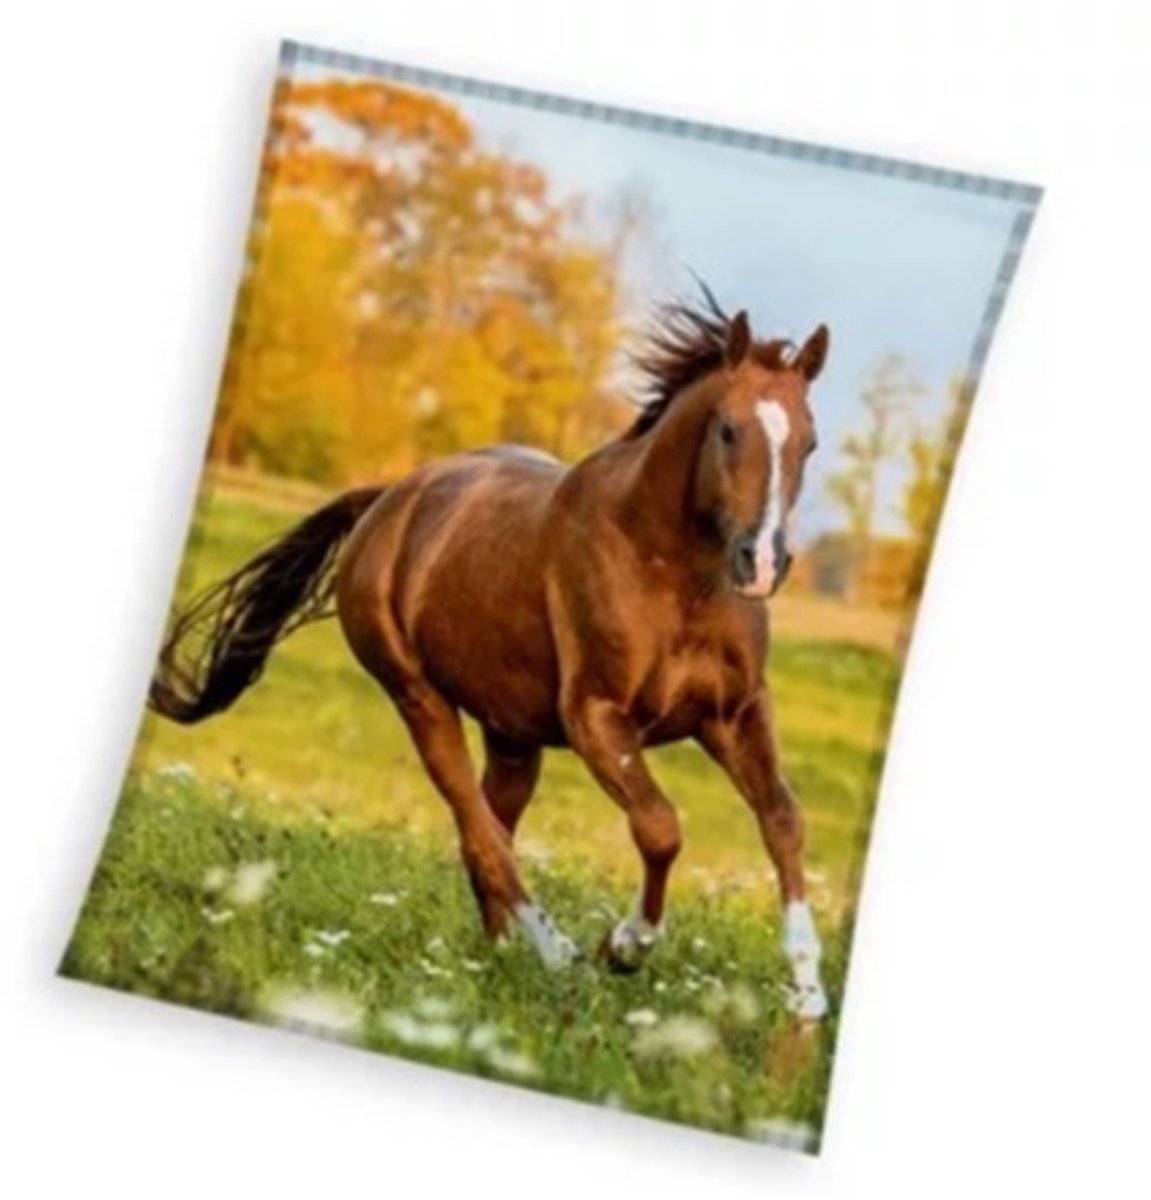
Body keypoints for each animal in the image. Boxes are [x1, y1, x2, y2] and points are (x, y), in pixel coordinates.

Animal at [150, 293, 832, 1019]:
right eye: (728, 430)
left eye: (809, 442)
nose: (762, 564)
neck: (673, 574)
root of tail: (388, 500)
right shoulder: (596, 717)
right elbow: (659, 826)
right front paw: (621, 946)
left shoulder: (735, 714)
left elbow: (783, 819)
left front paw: (808, 995)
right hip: (419, 700)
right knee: (483, 832)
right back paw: (559, 957)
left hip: (513, 738)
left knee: (487, 830)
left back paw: (500, 953)